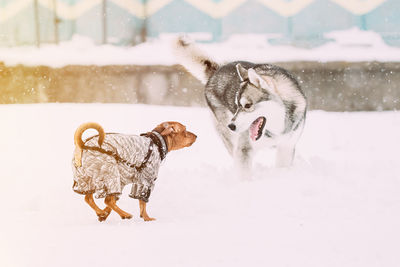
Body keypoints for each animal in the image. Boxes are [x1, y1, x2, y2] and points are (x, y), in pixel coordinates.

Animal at [173, 37, 308, 178]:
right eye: (237, 105)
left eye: (247, 105)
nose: (231, 126)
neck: (277, 127)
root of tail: (216, 71)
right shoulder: (244, 149)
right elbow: (244, 174)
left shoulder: (286, 148)